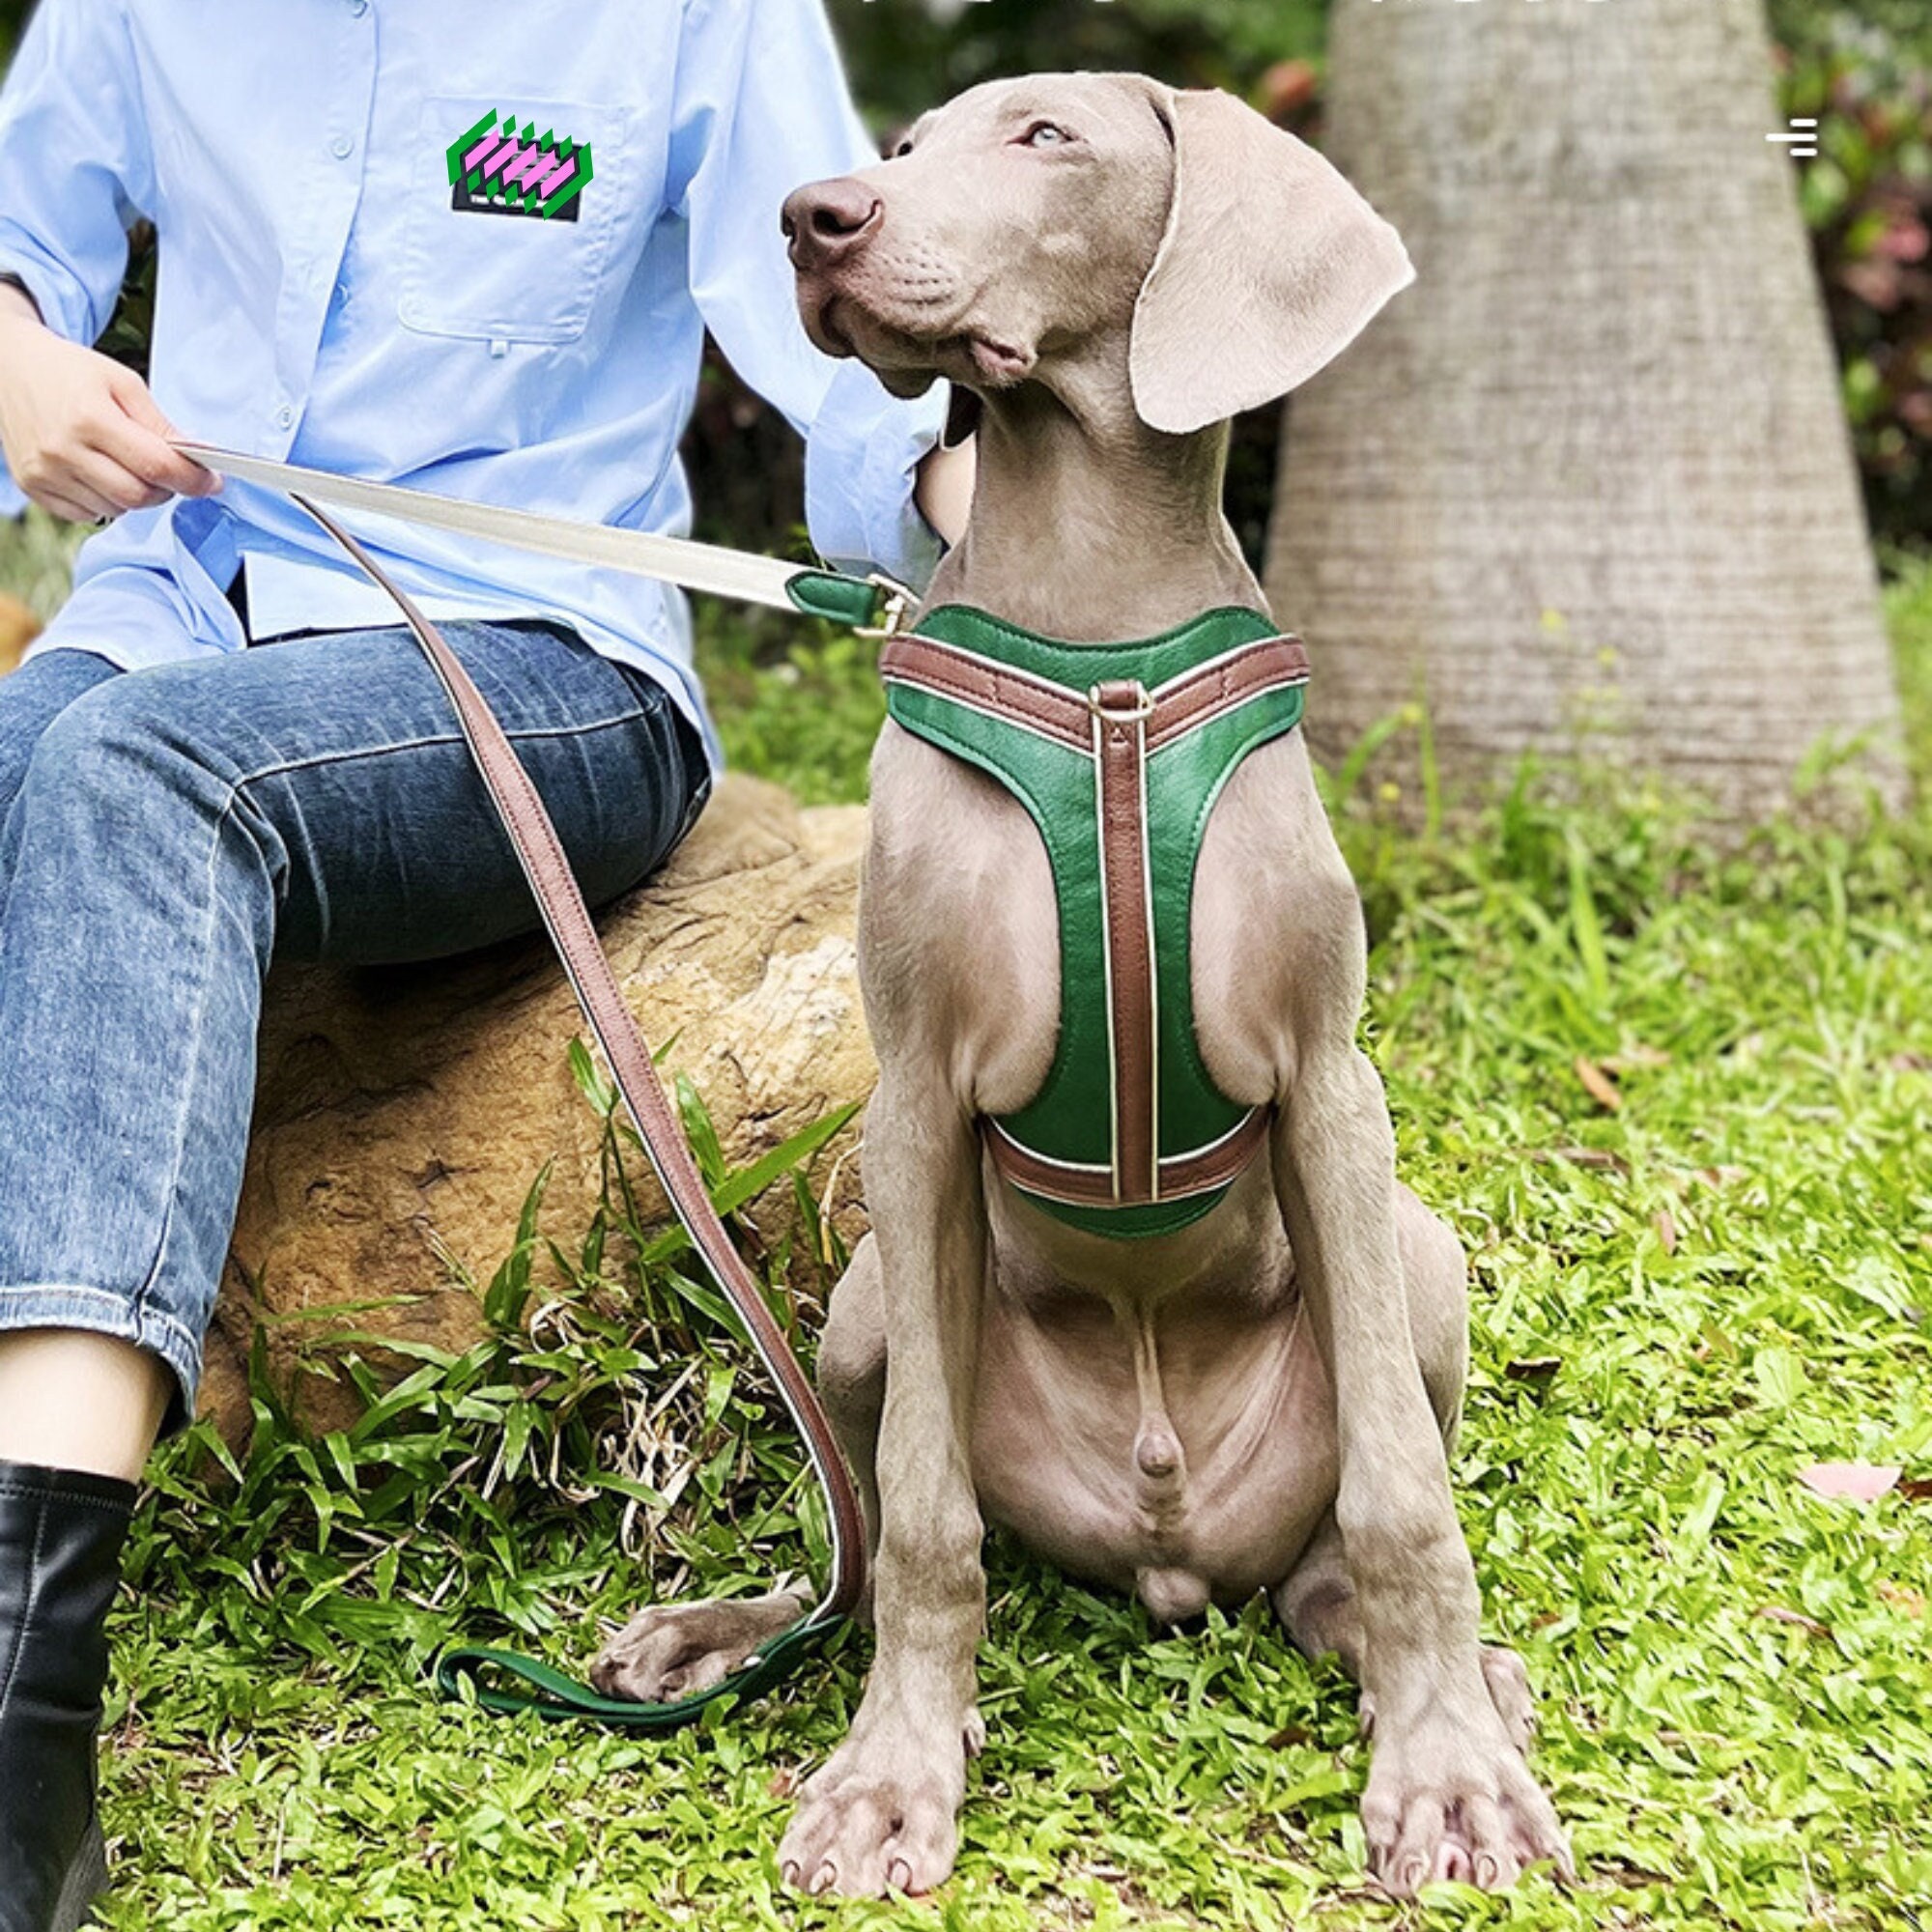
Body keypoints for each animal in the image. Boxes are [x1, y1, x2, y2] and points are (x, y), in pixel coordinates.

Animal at [595, 71, 1577, 1901]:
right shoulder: (913, 1095)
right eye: (905, 149)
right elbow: (921, 1517)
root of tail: (1166, 1536)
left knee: (1333, 1559)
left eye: (1045, 138)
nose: (815, 217)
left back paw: (1447, 1671)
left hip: (1420, 1257)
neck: (1103, 651)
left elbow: (1406, 1501)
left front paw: (1447, 1773)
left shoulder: (1330, 1082)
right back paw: (738, 1631)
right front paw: (892, 1779)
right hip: (862, 1307)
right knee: (855, 1536)